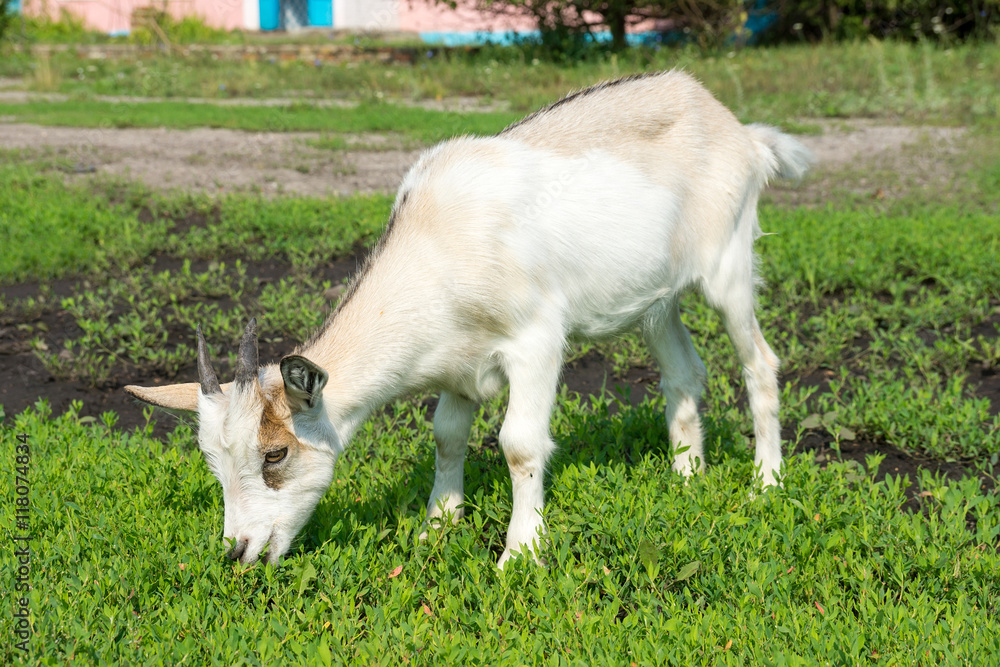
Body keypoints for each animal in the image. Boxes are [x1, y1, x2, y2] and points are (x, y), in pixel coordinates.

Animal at [125, 70, 813, 567]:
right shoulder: (456, 363)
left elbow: (519, 443)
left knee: (760, 362)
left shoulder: (536, 340)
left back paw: (766, 483)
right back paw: (688, 479)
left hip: (728, 266)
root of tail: (740, 132)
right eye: (212, 459)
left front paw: (521, 554)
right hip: (655, 301)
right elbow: (447, 436)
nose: (239, 551)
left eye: (274, 454)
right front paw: (435, 528)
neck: (437, 243)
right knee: (684, 372)